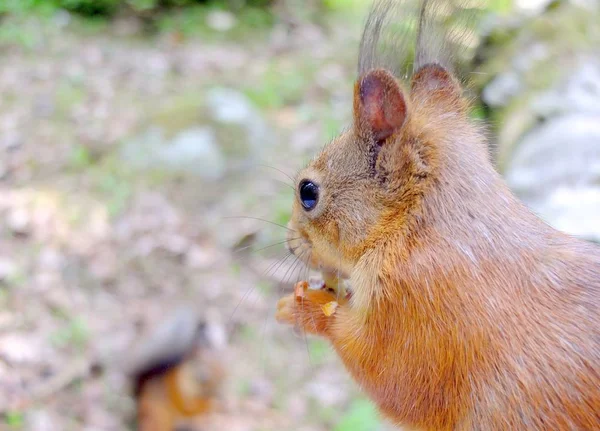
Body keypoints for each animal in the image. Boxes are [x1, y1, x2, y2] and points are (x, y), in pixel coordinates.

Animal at [276, 0, 600, 431]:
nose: (289, 242)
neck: (415, 229)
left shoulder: (417, 304)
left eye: (308, 193)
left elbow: (389, 375)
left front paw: (307, 308)